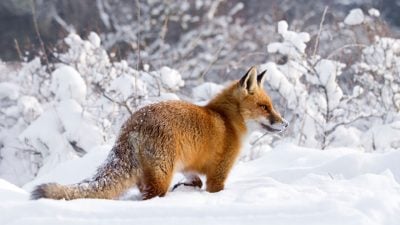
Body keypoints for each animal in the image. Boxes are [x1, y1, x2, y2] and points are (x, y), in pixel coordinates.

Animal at [31, 65, 288, 200]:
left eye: (271, 106)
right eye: (265, 107)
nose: (285, 124)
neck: (226, 120)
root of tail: (132, 123)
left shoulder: (188, 166)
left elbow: (194, 181)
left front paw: (186, 188)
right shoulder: (218, 175)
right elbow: (212, 188)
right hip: (162, 176)